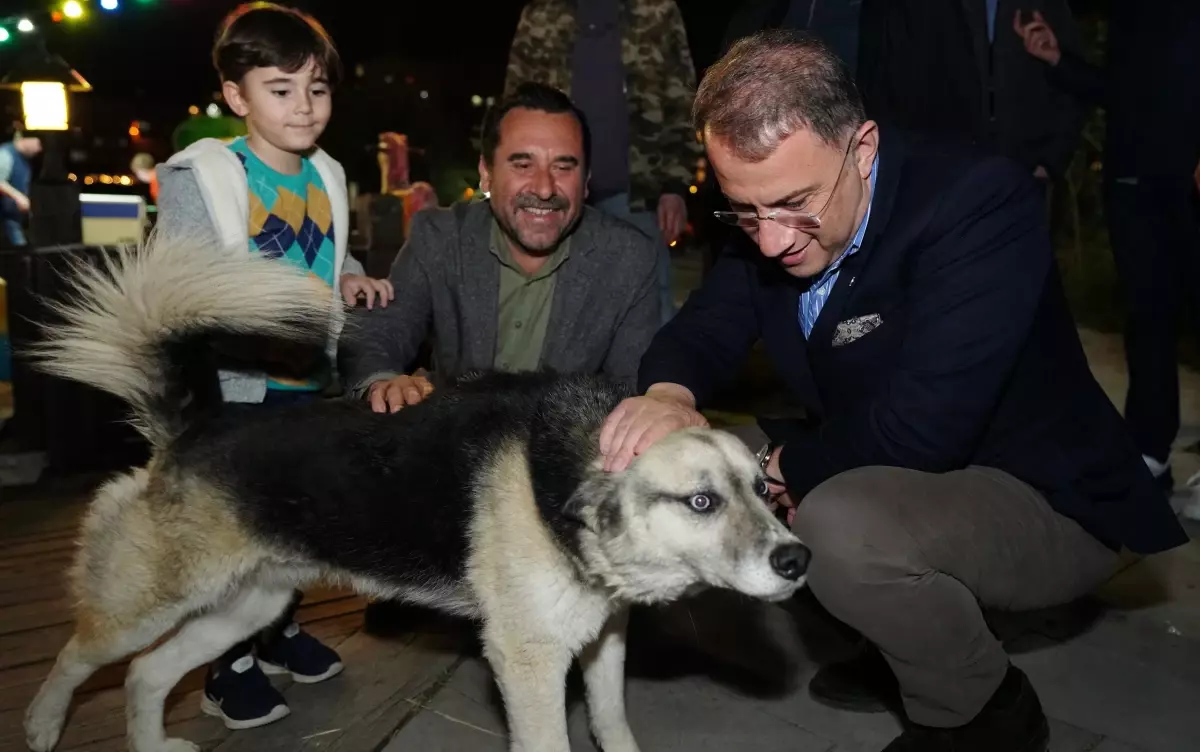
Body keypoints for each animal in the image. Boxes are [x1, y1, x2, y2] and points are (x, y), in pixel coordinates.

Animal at [21, 241, 806, 752]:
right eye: (701, 502)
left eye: (761, 487)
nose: (798, 561)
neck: (569, 477)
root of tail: (196, 425)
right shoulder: (528, 662)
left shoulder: (603, 641)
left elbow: (612, 724)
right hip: (147, 604)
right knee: (78, 657)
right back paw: (40, 724)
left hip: (247, 606)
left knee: (145, 676)